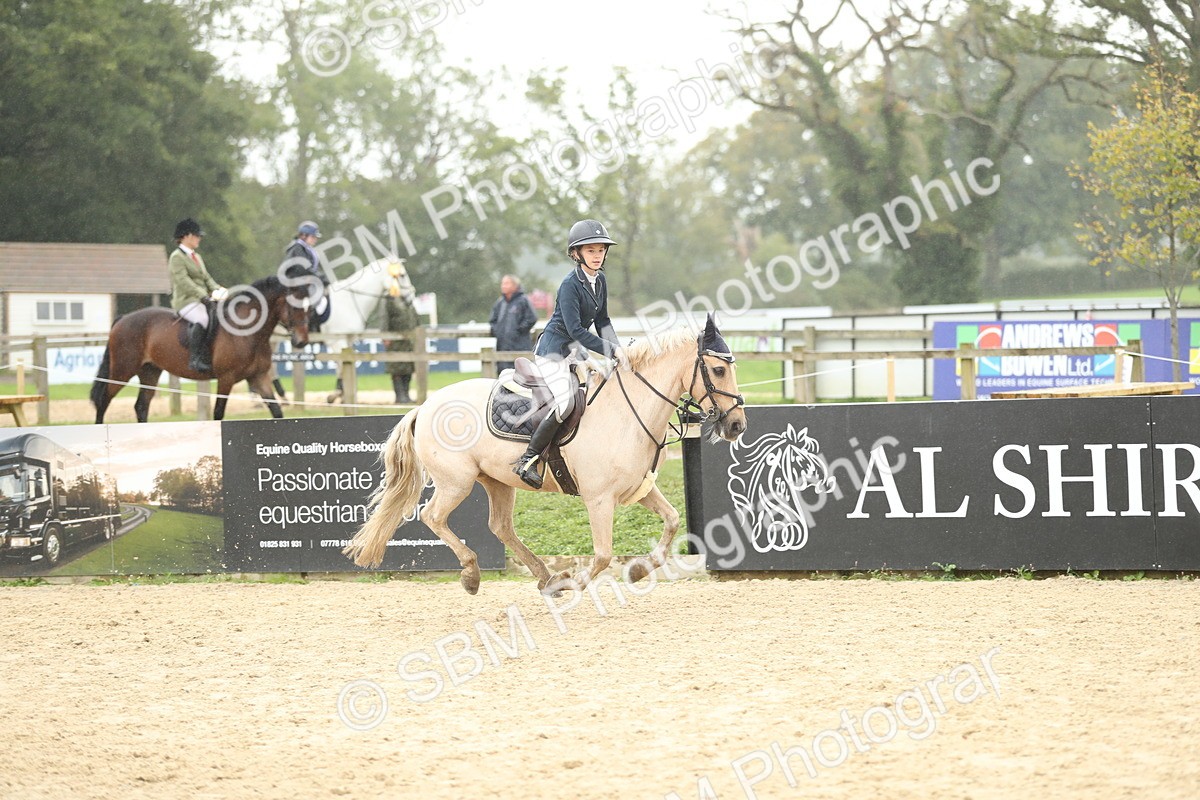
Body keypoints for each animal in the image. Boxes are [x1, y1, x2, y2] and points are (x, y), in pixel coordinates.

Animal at [90, 273, 316, 423]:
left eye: (309, 308)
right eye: (293, 306)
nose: (301, 342)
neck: (248, 332)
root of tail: (122, 319)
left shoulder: (258, 377)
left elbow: (276, 411)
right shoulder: (226, 379)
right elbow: (218, 414)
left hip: (150, 372)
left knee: (141, 406)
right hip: (122, 371)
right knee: (104, 401)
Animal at [343, 315, 748, 595]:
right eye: (717, 369)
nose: (736, 426)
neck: (628, 410)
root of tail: (425, 406)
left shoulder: (639, 488)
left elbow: (673, 520)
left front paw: (637, 570)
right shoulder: (599, 499)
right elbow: (603, 554)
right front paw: (577, 584)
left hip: (497, 481)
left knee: (500, 527)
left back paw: (545, 576)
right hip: (456, 482)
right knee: (433, 516)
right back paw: (473, 574)